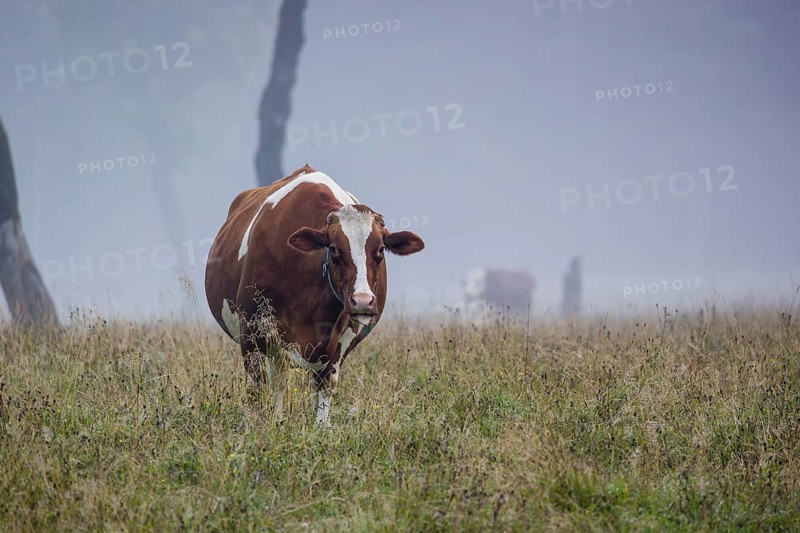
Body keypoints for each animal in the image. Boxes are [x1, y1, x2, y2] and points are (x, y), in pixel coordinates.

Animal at [205, 165, 425, 425]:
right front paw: (253, 427)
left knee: (280, 378)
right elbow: (255, 388)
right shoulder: (251, 326)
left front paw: (320, 426)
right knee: (276, 380)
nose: (362, 301)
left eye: (380, 250)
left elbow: (326, 384)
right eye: (335, 250)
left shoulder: (343, 337)